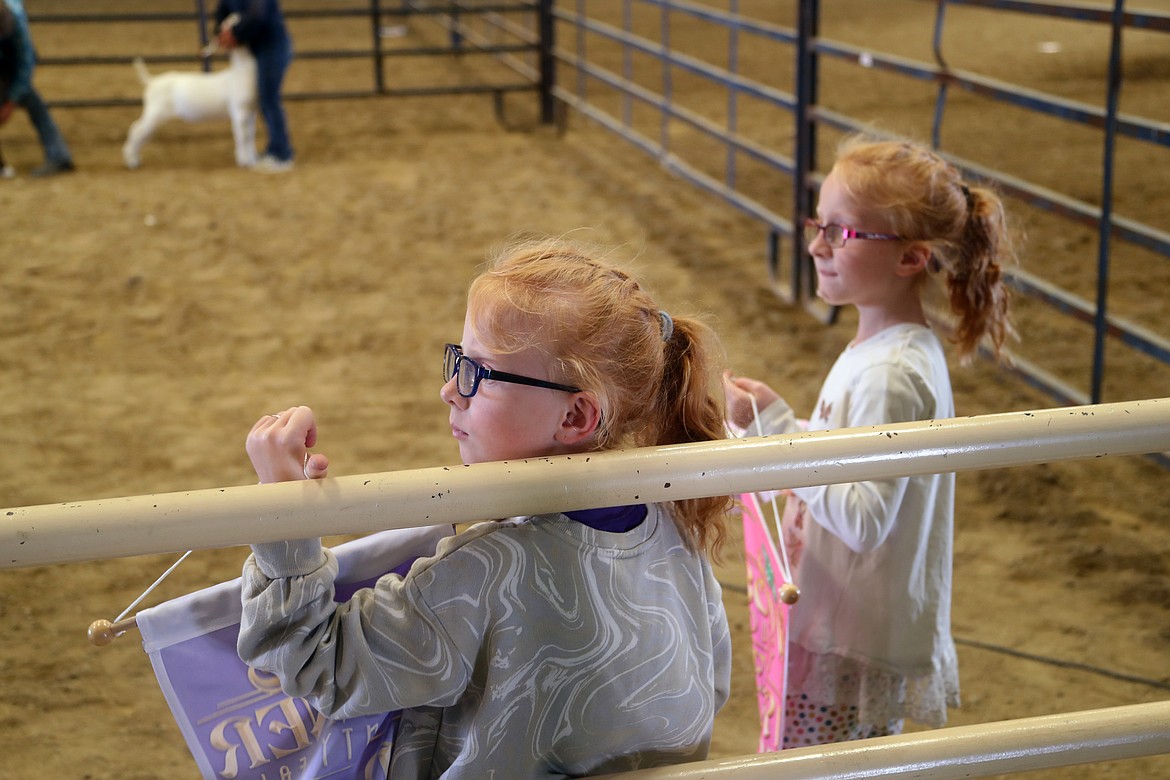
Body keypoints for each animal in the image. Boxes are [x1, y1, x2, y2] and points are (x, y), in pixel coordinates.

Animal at [122, 44, 257, 169]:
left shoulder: (251, 112)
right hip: (155, 113)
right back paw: (132, 162)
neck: (242, 75)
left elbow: (250, 134)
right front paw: (243, 161)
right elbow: (242, 136)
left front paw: (252, 158)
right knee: (137, 130)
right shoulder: (239, 112)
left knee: (140, 131)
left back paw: (135, 158)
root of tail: (152, 81)